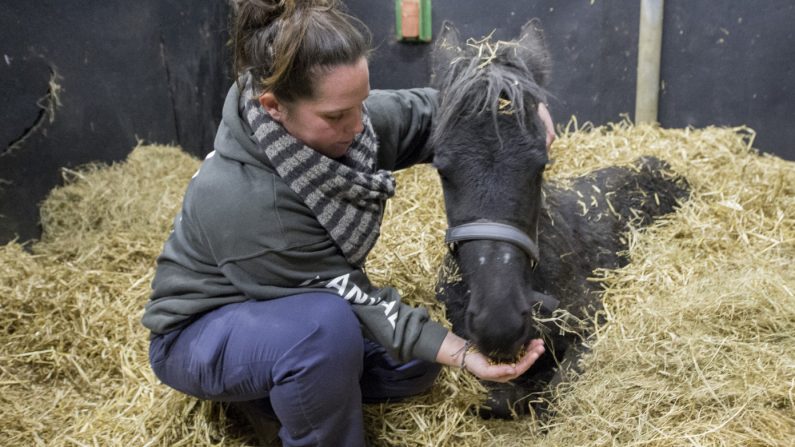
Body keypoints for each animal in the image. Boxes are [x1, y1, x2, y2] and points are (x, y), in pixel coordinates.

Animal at [430, 21, 692, 420]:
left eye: (540, 165)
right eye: (442, 169)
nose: (499, 322)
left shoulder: (594, 322)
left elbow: (550, 397)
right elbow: (498, 398)